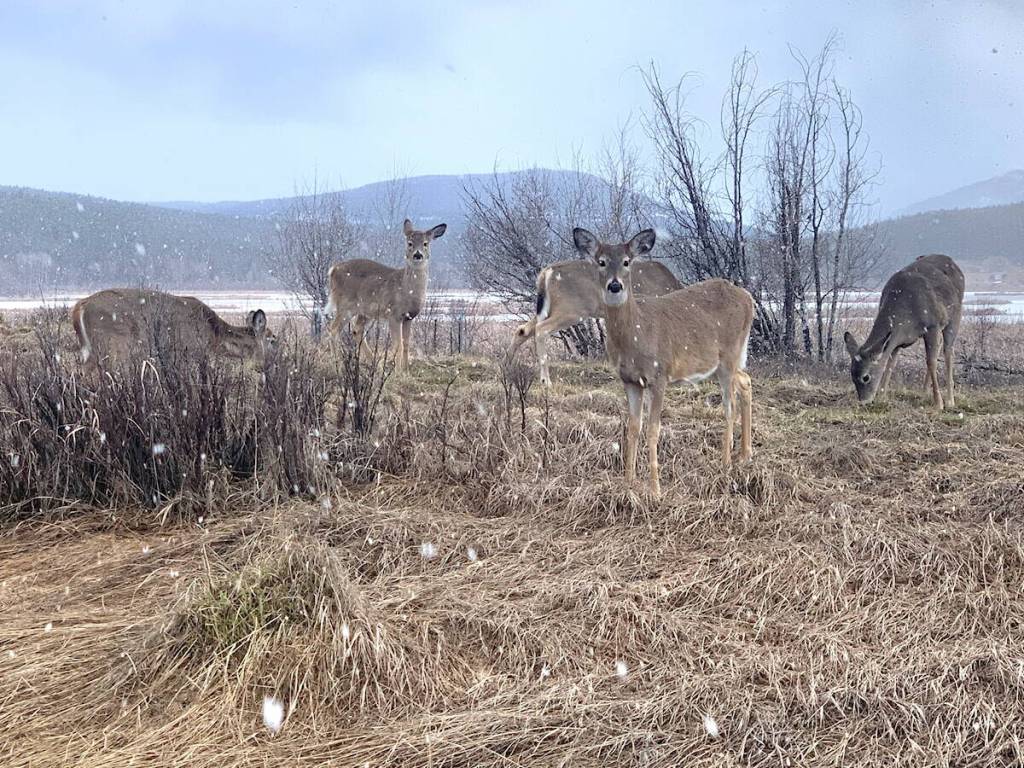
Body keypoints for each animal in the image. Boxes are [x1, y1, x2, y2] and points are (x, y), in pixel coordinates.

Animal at [70, 288, 275, 368]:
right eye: (273, 340)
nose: (274, 362)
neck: (214, 335)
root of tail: (80, 305)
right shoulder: (188, 351)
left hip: (89, 349)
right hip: (113, 346)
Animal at [326, 218, 447, 372]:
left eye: (426, 243)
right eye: (409, 243)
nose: (417, 254)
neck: (407, 290)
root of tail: (333, 270)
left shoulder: (409, 317)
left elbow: (406, 344)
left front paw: (405, 370)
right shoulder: (394, 314)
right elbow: (398, 344)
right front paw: (398, 371)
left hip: (365, 311)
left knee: (356, 330)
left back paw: (375, 365)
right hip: (345, 304)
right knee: (333, 329)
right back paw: (337, 366)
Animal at [509, 258, 681, 386]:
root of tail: (546, 273)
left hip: (550, 308)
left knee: (522, 329)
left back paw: (507, 365)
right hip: (571, 309)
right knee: (541, 329)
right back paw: (546, 381)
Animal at [572, 227, 754, 496]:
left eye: (627, 262)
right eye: (601, 261)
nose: (614, 285)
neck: (635, 336)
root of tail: (749, 298)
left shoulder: (659, 375)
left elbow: (653, 430)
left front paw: (656, 489)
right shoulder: (629, 380)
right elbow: (633, 428)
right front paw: (628, 482)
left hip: (729, 357)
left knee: (729, 407)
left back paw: (725, 464)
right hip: (720, 364)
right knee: (746, 381)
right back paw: (744, 455)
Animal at [843, 254, 964, 411]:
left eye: (866, 377)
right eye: (852, 375)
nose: (864, 401)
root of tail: (952, 261)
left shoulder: (932, 326)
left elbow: (931, 361)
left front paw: (939, 403)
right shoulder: (896, 340)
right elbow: (890, 364)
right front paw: (882, 397)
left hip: (954, 318)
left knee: (948, 351)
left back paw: (949, 400)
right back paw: (924, 393)